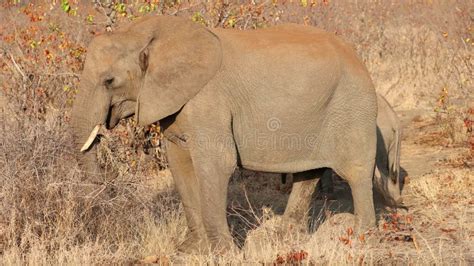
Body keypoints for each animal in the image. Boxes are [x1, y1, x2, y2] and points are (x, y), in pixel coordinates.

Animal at [72, 15, 380, 252]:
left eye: (109, 81)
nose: (104, 192)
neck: (146, 33)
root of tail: (357, 56)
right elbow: (180, 163)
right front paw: (190, 250)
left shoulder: (209, 100)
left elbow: (217, 164)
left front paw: (224, 254)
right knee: (308, 172)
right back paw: (285, 237)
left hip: (353, 107)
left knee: (357, 173)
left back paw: (361, 240)